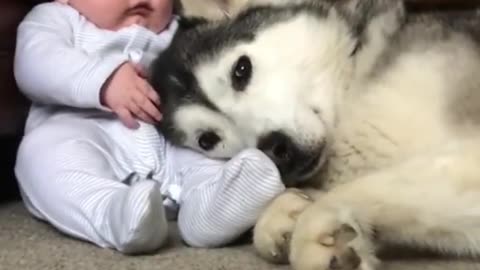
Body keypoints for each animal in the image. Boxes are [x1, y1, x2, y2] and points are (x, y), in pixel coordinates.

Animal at [150, 0, 480, 270]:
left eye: (241, 70)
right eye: (207, 140)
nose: (275, 148)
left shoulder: (465, 158)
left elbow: (364, 189)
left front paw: (317, 225)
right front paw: (287, 211)